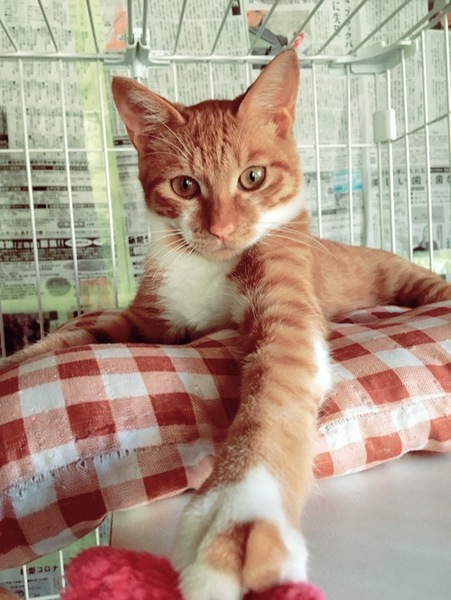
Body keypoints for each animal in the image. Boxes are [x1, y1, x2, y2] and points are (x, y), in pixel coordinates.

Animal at [2, 49, 451, 600]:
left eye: (252, 177)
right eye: (185, 185)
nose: (221, 229)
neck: (205, 264)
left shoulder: (285, 312)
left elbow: (274, 391)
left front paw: (237, 516)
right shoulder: (146, 316)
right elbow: (71, 334)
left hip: (404, 278)